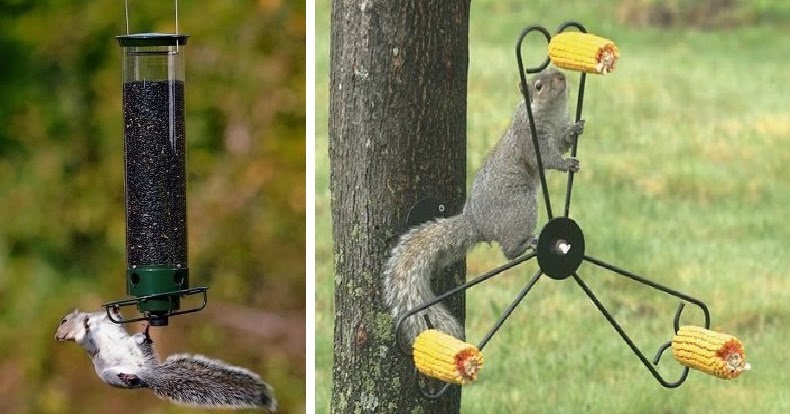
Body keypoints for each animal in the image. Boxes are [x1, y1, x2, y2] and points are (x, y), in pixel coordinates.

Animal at [55, 308, 277, 412]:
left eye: (64, 320)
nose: (58, 337)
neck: (92, 325)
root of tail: (148, 374)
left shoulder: (103, 319)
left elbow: (114, 319)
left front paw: (114, 310)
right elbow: (88, 341)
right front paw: (84, 330)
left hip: (136, 348)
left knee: (141, 343)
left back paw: (144, 336)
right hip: (110, 375)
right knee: (129, 379)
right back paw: (129, 378)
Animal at [383, 67, 584, 345]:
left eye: (555, 71)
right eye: (538, 86)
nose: (561, 78)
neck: (552, 112)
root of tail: (477, 222)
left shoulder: (557, 128)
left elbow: (564, 141)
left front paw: (576, 128)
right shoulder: (531, 136)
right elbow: (546, 158)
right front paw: (566, 164)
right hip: (520, 207)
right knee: (508, 250)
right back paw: (524, 244)